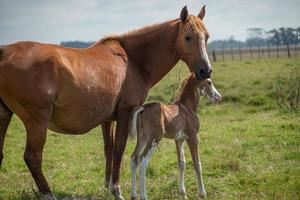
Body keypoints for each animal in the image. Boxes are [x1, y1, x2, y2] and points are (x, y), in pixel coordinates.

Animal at [0, 5, 211, 199]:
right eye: (188, 37)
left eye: (207, 37)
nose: (205, 71)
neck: (133, 59)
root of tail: (4, 52)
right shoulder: (125, 114)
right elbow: (119, 150)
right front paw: (116, 190)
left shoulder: (107, 119)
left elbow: (108, 149)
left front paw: (107, 184)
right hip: (37, 123)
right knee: (33, 158)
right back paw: (48, 194)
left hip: (5, 116)